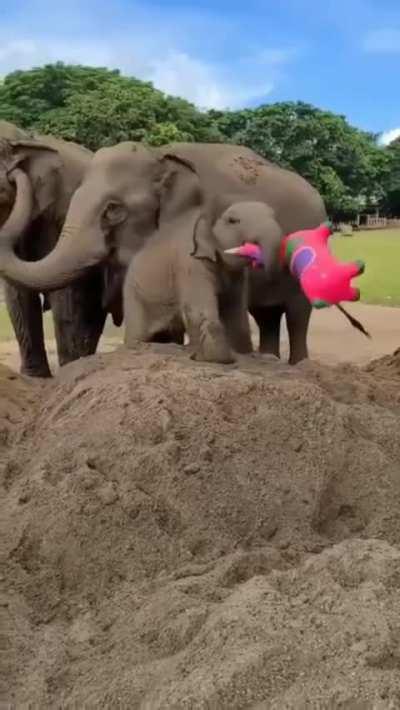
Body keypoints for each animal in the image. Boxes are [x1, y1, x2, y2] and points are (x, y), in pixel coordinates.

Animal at [0, 120, 117, 377]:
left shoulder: (65, 209)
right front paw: (33, 377)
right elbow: (18, 293)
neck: (26, 137)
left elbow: (65, 292)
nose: (12, 172)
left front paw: (69, 371)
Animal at [0, 140, 334, 364]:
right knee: (267, 316)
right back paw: (269, 358)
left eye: (113, 210)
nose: (12, 170)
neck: (158, 155)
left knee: (297, 314)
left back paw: (298, 364)